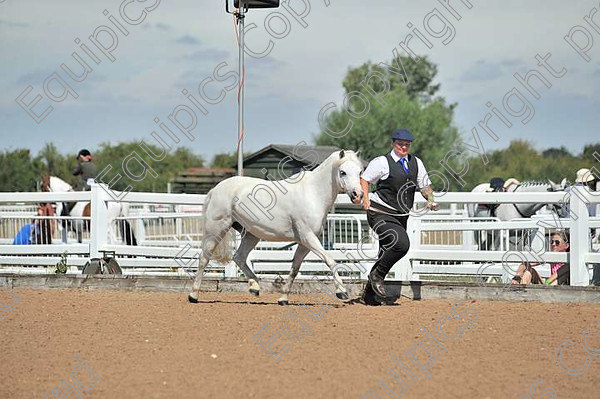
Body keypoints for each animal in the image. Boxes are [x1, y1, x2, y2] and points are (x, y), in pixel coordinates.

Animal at [190, 151, 364, 306]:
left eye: (360, 172)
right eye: (343, 172)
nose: (358, 195)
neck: (313, 194)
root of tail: (215, 190)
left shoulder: (304, 243)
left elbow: (294, 269)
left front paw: (283, 299)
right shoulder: (308, 237)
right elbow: (330, 260)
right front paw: (342, 292)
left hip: (251, 234)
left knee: (239, 257)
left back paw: (255, 287)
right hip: (216, 230)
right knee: (204, 258)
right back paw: (193, 295)